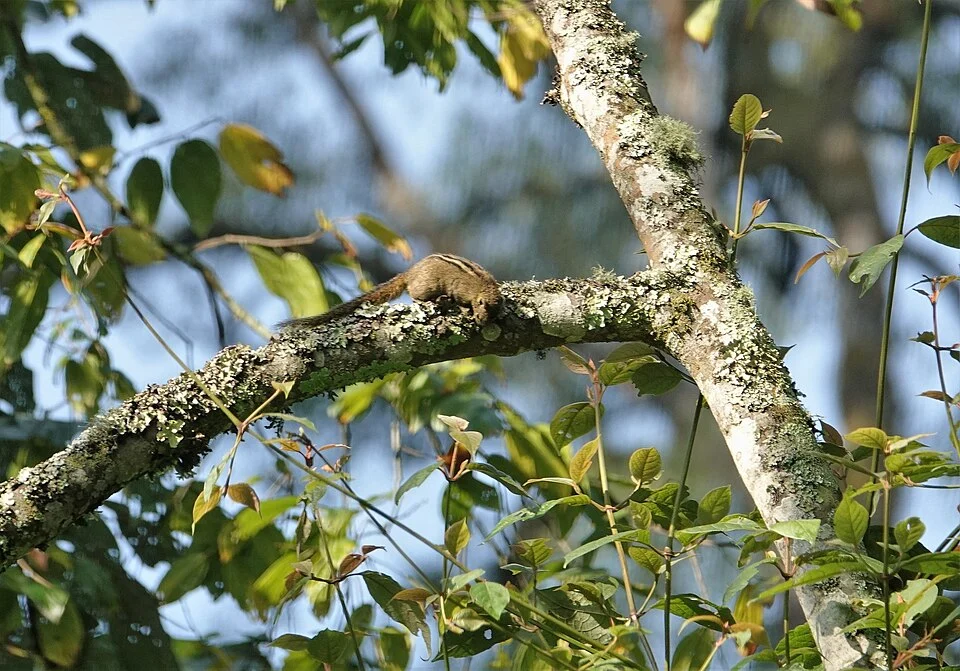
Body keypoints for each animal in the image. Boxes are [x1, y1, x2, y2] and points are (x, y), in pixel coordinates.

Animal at [278, 253, 502, 330]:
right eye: (482, 306)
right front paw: (466, 311)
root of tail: (410, 272)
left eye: (494, 314)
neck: (483, 287)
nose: (483, 322)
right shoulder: (463, 291)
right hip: (426, 286)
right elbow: (462, 302)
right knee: (414, 294)